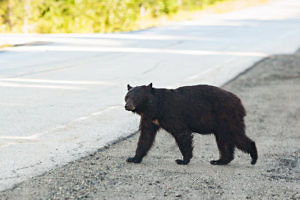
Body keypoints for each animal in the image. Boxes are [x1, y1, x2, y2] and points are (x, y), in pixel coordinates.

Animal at [124, 83, 258, 166]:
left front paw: (183, 160)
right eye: (126, 97)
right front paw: (133, 158)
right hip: (222, 123)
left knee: (235, 135)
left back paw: (253, 157)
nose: (127, 106)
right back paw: (219, 160)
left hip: (226, 117)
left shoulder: (171, 113)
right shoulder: (149, 119)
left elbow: (182, 133)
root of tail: (239, 102)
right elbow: (145, 137)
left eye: (136, 97)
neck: (155, 106)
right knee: (224, 140)